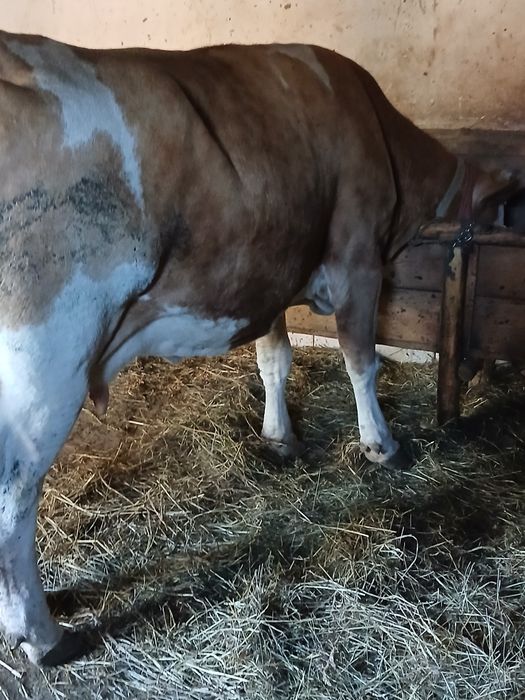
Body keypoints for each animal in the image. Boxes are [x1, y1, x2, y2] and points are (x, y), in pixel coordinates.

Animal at [0, 31, 516, 666]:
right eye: (504, 213)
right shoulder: (357, 256)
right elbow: (360, 360)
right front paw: (381, 444)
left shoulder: (267, 275)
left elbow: (274, 360)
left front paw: (278, 436)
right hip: (47, 357)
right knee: (16, 494)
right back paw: (42, 635)